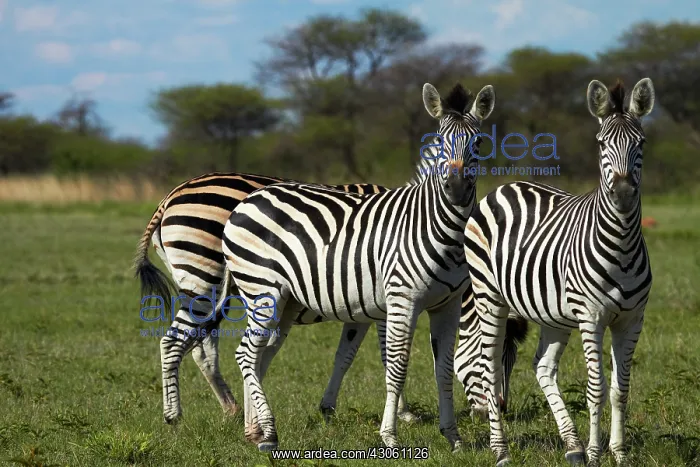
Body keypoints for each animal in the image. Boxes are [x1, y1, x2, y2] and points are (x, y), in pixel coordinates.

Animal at [216, 82, 496, 452]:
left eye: (478, 143)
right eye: (438, 141)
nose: (457, 189)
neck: (440, 228)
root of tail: (248, 200)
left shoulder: (445, 306)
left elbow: (444, 369)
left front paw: (453, 438)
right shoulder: (400, 302)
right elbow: (396, 366)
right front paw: (390, 436)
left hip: (286, 301)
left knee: (259, 356)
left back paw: (254, 431)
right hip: (262, 290)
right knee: (246, 354)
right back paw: (269, 433)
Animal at [464, 78, 655, 467]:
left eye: (641, 143)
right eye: (601, 144)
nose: (623, 193)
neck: (623, 247)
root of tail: (507, 185)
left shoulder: (632, 320)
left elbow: (620, 389)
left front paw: (619, 454)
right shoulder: (592, 318)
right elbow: (596, 389)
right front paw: (597, 454)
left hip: (553, 313)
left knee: (542, 367)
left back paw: (572, 445)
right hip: (489, 297)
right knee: (489, 367)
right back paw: (501, 451)